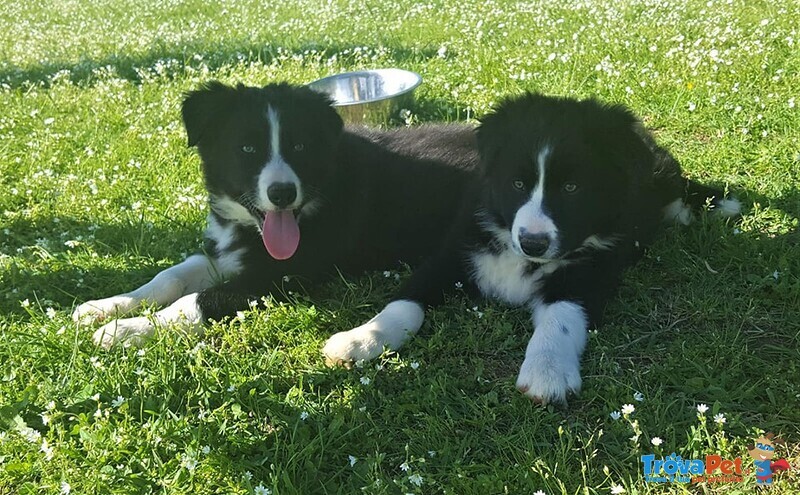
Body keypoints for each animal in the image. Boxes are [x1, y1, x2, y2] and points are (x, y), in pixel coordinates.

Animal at [72, 82, 478, 348]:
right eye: (247, 149)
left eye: (299, 146)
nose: (282, 193)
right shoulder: (229, 251)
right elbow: (168, 277)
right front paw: (107, 307)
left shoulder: (280, 273)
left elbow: (196, 301)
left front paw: (128, 329)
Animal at [322, 94, 740, 406]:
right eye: (517, 184)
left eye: (572, 188)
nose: (533, 243)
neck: (517, 255)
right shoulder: (452, 254)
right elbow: (404, 303)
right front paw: (361, 339)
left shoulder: (588, 271)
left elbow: (561, 317)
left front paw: (547, 372)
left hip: (662, 178)